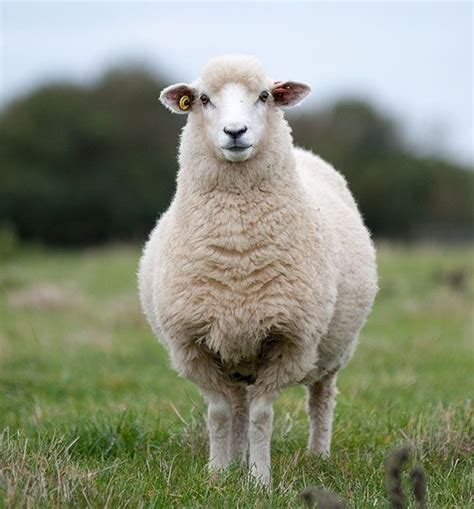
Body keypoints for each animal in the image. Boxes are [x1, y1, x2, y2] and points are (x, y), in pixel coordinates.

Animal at [137, 54, 378, 484]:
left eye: (265, 95)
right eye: (203, 98)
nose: (236, 132)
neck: (238, 252)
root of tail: (306, 154)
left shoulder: (290, 341)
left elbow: (263, 416)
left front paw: (260, 480)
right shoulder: (192, 344)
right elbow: (219, 413)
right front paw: (218, 475)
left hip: (331, 350)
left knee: (320, 399)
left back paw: (317, 455)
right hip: (236, 351)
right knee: (238, 406)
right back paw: (235, 457)